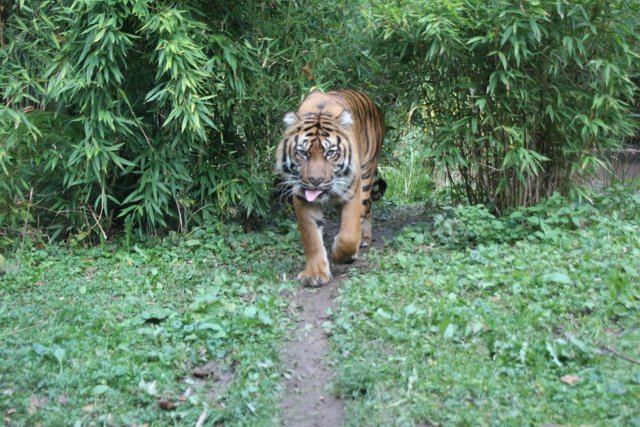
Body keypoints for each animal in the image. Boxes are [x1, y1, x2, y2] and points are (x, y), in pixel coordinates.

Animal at [275, 89, 386, 287]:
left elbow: (348, 235)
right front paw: (315, 274)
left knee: (366, 210)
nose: (315, 180)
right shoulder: (302, 198)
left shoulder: (352, 192)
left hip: (366, 175)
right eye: (303, 153)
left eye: (330, 153)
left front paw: (341, 255)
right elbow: (312, 238)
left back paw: (363, 239)